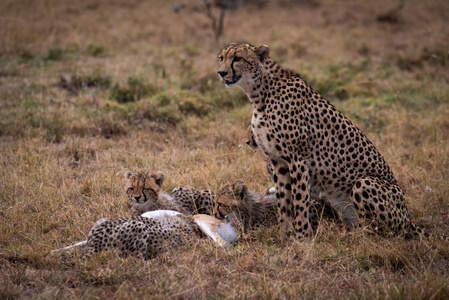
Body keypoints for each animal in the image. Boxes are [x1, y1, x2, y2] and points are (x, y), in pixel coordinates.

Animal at [217, 42, 424, 240]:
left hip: (365, 183)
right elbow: (283, 201)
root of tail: (409, 219)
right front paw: (285, 236)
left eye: (237, 58)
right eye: (221, 58)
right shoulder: (279, 162)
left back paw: (353, 238)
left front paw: (302, 237)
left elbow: (299, 200)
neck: (260, 93)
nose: (221, 73)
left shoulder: (298, 158)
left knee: (377, 230)